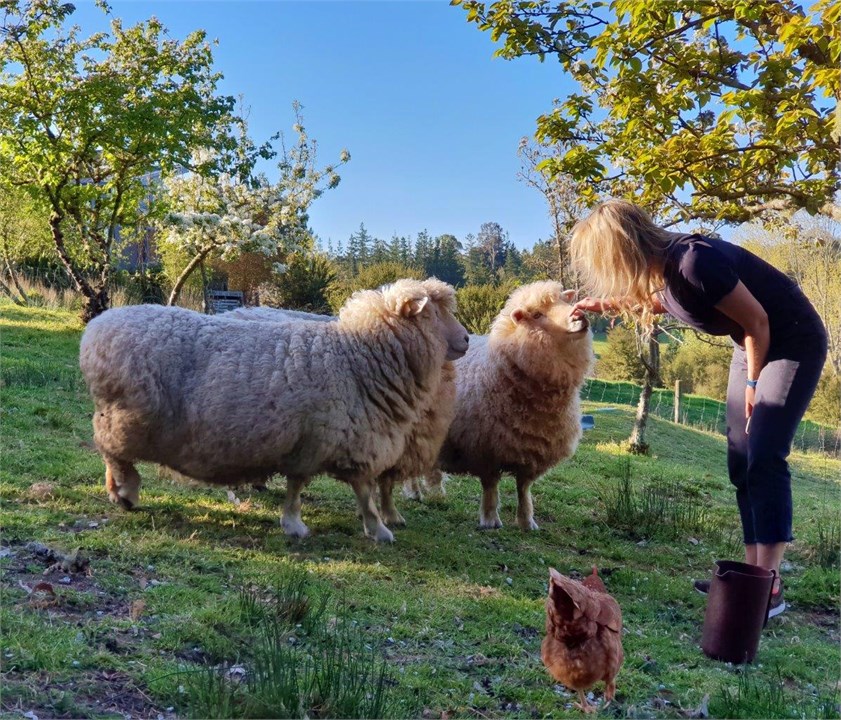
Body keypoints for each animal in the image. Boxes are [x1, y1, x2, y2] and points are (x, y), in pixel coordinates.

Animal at [425, 281, 593, 531]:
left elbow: (524, 489)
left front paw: (527, 521)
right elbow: (490, 486)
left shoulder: (532, 450)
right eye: (537, 314)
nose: (580, 315)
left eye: (566, 301)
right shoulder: (485, 449)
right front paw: (490, 519)